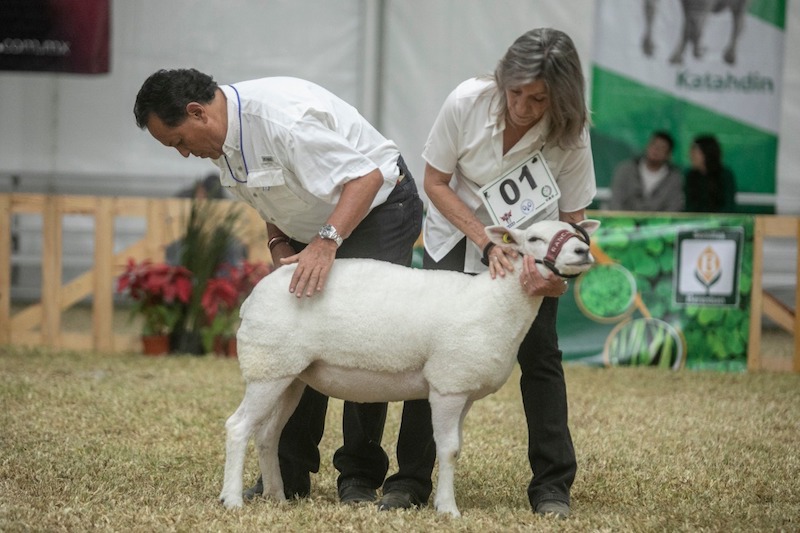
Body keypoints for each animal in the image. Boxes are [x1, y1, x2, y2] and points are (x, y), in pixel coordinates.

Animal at [219, 216, 600, 516]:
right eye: (534, 239)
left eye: (575, 233)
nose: (582, 252)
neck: (497, 300)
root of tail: (253, 296)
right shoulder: (448, 385)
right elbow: (449, 449)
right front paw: (448, 509)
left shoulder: (463, 389)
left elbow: (456, 447)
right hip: (267, 364)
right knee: (238, 426)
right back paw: (232, 499)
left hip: (290, 374)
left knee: (267, 433)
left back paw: (277, 497)